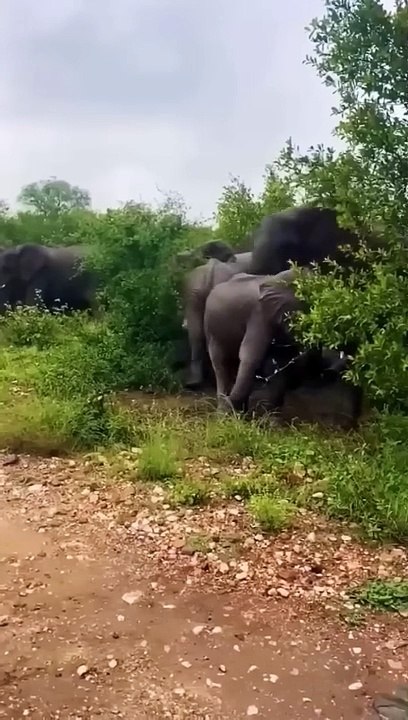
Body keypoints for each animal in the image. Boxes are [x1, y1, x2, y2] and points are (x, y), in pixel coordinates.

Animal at [204, 268, 362, 425]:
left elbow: (281, 362)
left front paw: (271, 422)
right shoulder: (261, 314)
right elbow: (251, 355)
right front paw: (232, 413)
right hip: (212, 331)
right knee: (221, 364)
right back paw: (223, 413)